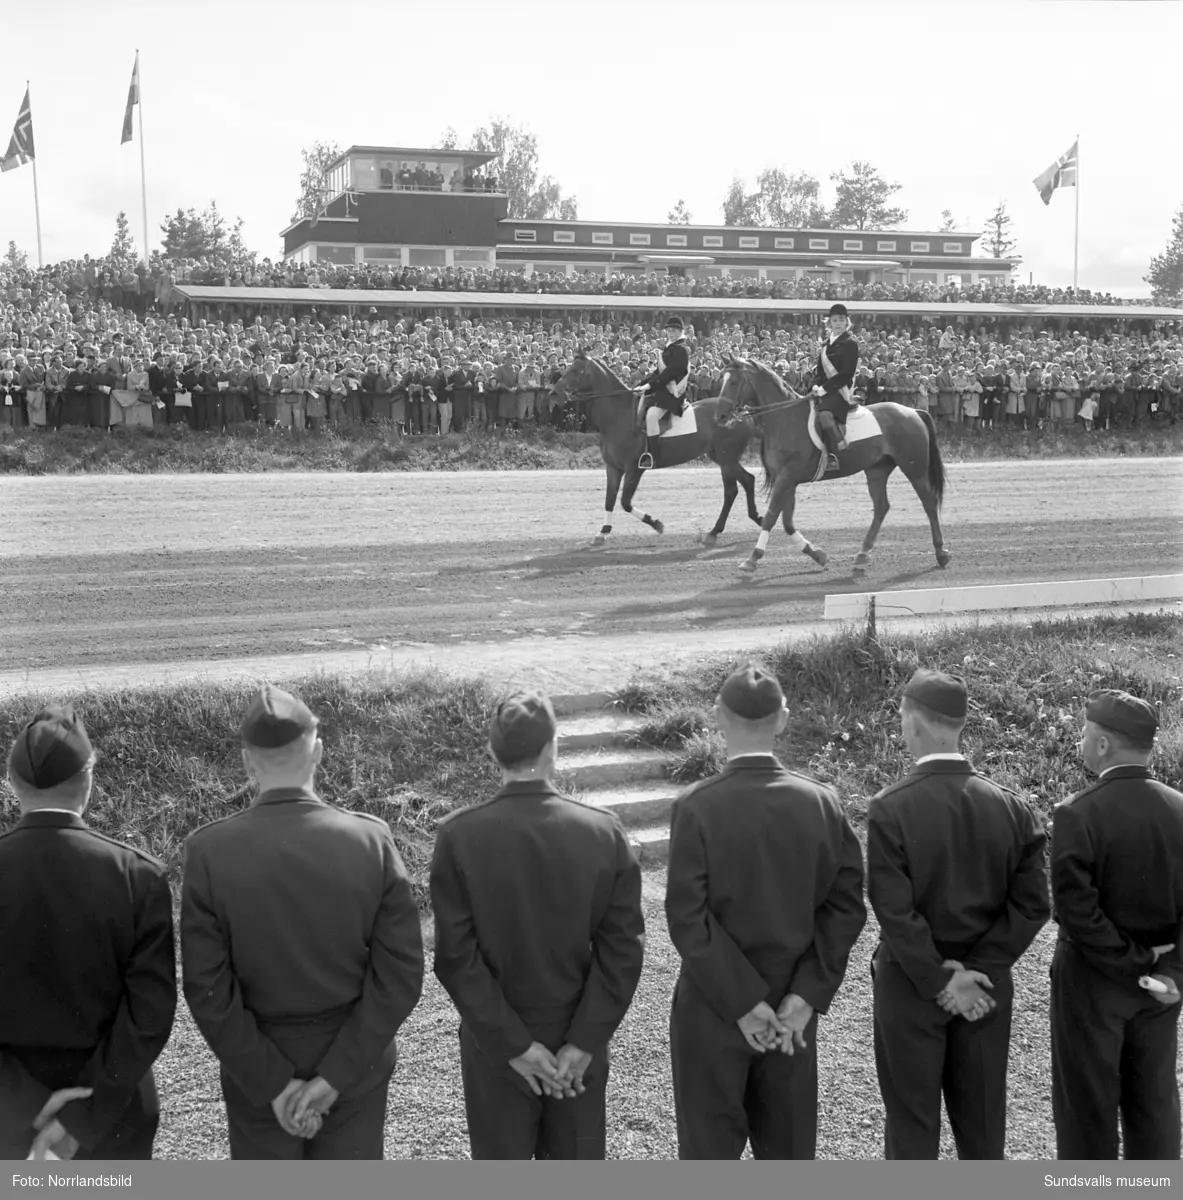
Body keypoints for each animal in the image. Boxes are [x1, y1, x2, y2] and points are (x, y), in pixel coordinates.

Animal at [549, 350, 763, 549]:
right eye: (566, 368)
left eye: (575, 371)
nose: (553, 394)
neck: (619, 416)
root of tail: (741, 414)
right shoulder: (613, 468)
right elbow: (609, 500)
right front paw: (602, 533)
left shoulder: (634, 469)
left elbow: (625, 502)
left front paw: (656, 523)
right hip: (722, 458)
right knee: (746, 481)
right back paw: (755, 519)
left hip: (727, 459)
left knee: (733, 490)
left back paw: (716, 531)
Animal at [710, 352, 950, 578]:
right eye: (721, 380)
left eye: (733, 382)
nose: (719, 417)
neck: (785, 418)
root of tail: (913, 412)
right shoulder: (787, 480)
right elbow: (787, 522)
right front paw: (817, 555)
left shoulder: (787, 477)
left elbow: (770, 517)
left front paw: (752, 558)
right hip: (877, 470)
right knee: (882, 507)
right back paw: (861, 558)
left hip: (914, 468)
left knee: (929, 502)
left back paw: (940, 553)